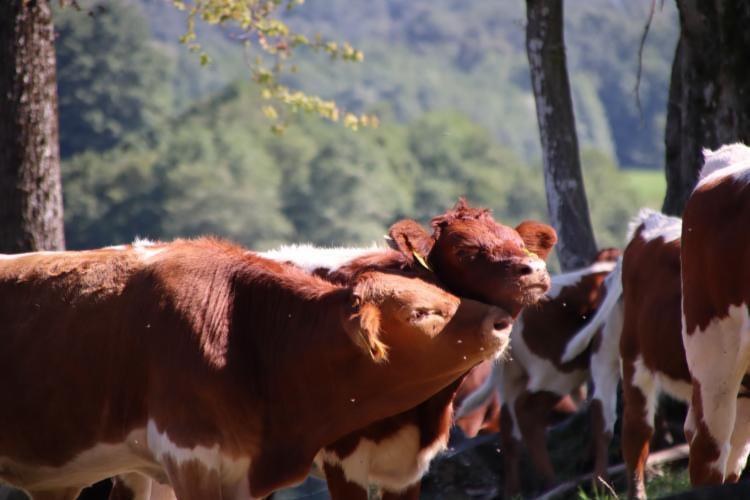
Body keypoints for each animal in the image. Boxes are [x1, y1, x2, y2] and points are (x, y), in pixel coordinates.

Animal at [456, 250, 620, 496]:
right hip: (557, 374)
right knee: (528, 412)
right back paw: (553, 483)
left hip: (512, 377)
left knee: (509, 428)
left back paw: (514, 491)